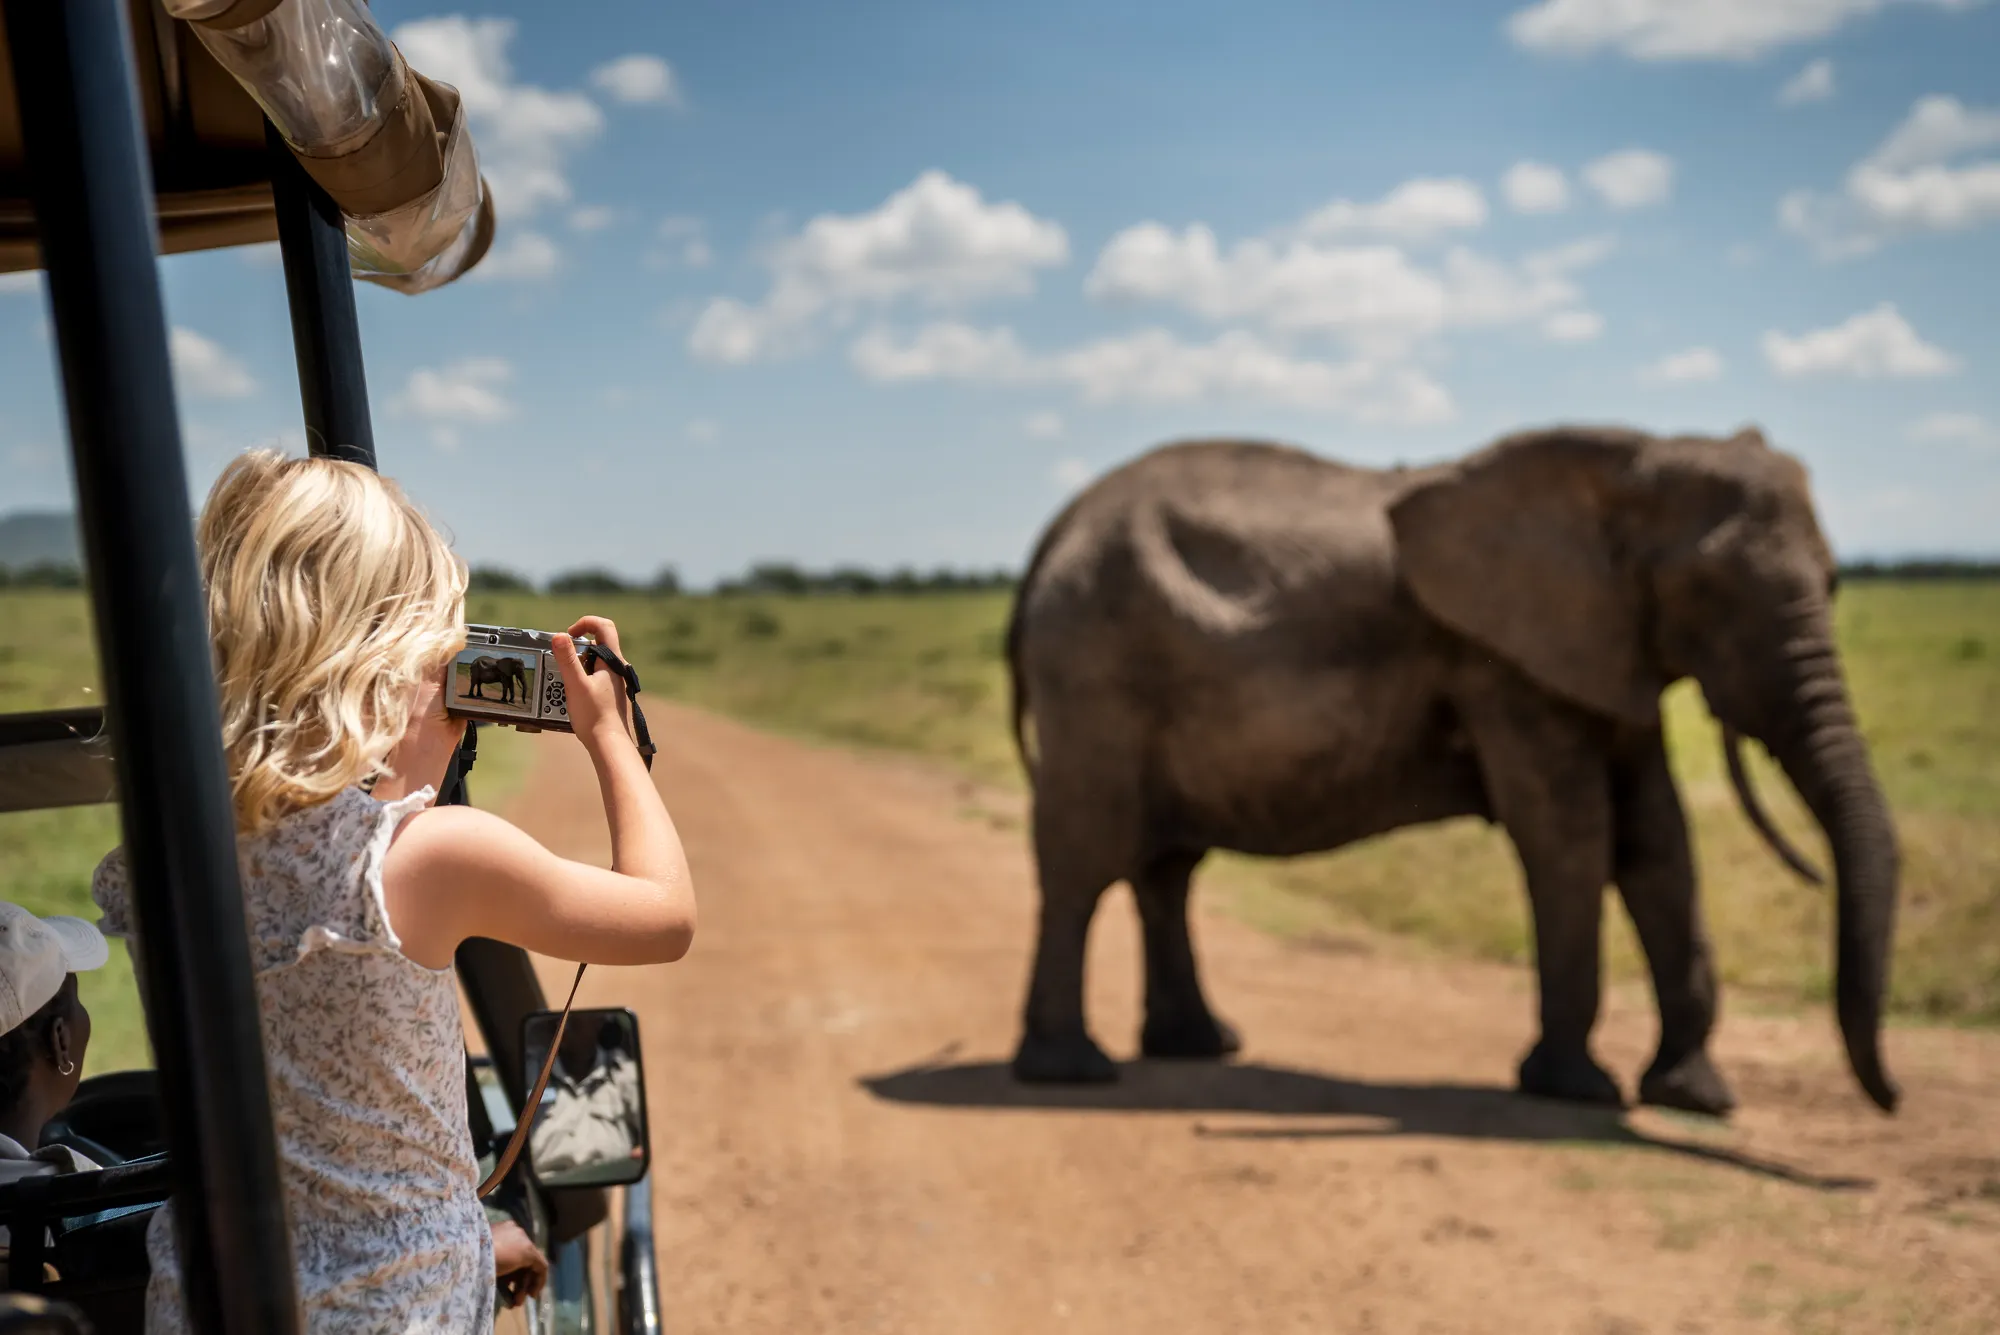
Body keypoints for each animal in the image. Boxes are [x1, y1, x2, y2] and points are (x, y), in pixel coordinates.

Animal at [1008, 425, 1896, 1119]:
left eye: (1833, 583)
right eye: (1705, 592)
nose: (1888, 1095)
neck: (1628, 458)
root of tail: (1052, 534)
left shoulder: (1603, 650)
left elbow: (1659, 844)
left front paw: (1695, 1097)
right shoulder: (1505, 664)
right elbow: (1572, 835)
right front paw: (1574, 1089)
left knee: (1166, 868)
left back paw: (1197, 1046)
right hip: (1093, 669)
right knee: (1085, 856)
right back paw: (1072, 1072)